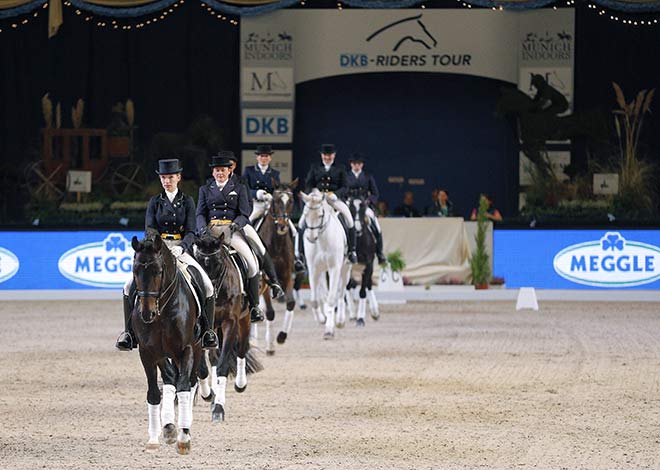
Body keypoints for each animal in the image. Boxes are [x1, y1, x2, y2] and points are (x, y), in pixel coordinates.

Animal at [130, 233, 200, 454]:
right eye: (135, 270)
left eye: (158, 271)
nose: (147, 314)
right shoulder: (148, 352)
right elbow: (154, 393)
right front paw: (155, 438)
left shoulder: (186, 349)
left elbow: (184, 386)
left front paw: (184, 437)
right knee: (170, 378)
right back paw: (168, 427)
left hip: (197, 349)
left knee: (190, 381)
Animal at [193, 231, 260, 422]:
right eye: (198, 262)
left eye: (218, 262)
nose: (208, 295)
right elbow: (203, 367)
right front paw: (209, 395)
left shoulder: (230, 323)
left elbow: (223, 365)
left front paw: (219, 409)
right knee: (214, 356)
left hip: (244, 320)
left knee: (242, 349)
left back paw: (240, 384)